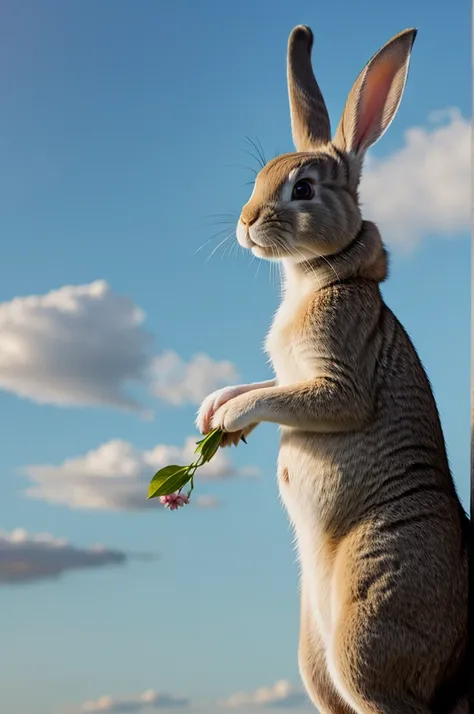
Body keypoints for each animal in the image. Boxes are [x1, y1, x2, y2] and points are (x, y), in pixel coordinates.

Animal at [197, 25, 470, 712]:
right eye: (262, 177)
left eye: (303, 189)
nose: (246, 223)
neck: (322, 274)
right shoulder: (288, 373)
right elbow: (267, 384)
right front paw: (212, 412)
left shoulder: (336, 384)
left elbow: (288, 398)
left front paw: (229, 417)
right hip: (316, 661)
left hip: (364, 637)